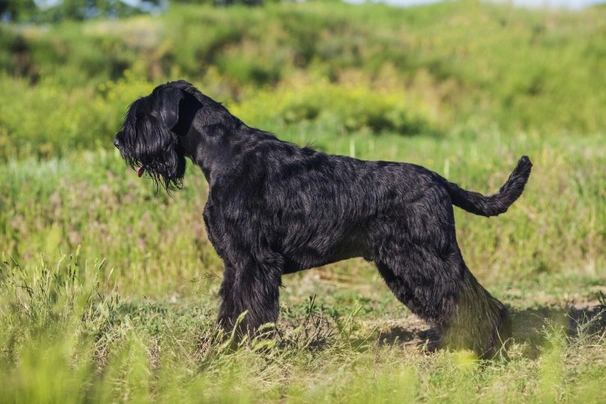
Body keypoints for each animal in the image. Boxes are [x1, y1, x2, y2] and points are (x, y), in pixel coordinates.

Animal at [114, 79, 532, 356]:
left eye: (142, 115)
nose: (119, 141)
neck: (224, 154)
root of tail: (439, 181)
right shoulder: (236, 262)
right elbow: (232, 306)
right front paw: (226, 344)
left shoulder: (254, 260)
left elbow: (250, 308)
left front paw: (247, 349)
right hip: (404, 265)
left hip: (425, 258)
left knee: (470, 300)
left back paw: (479, 346)